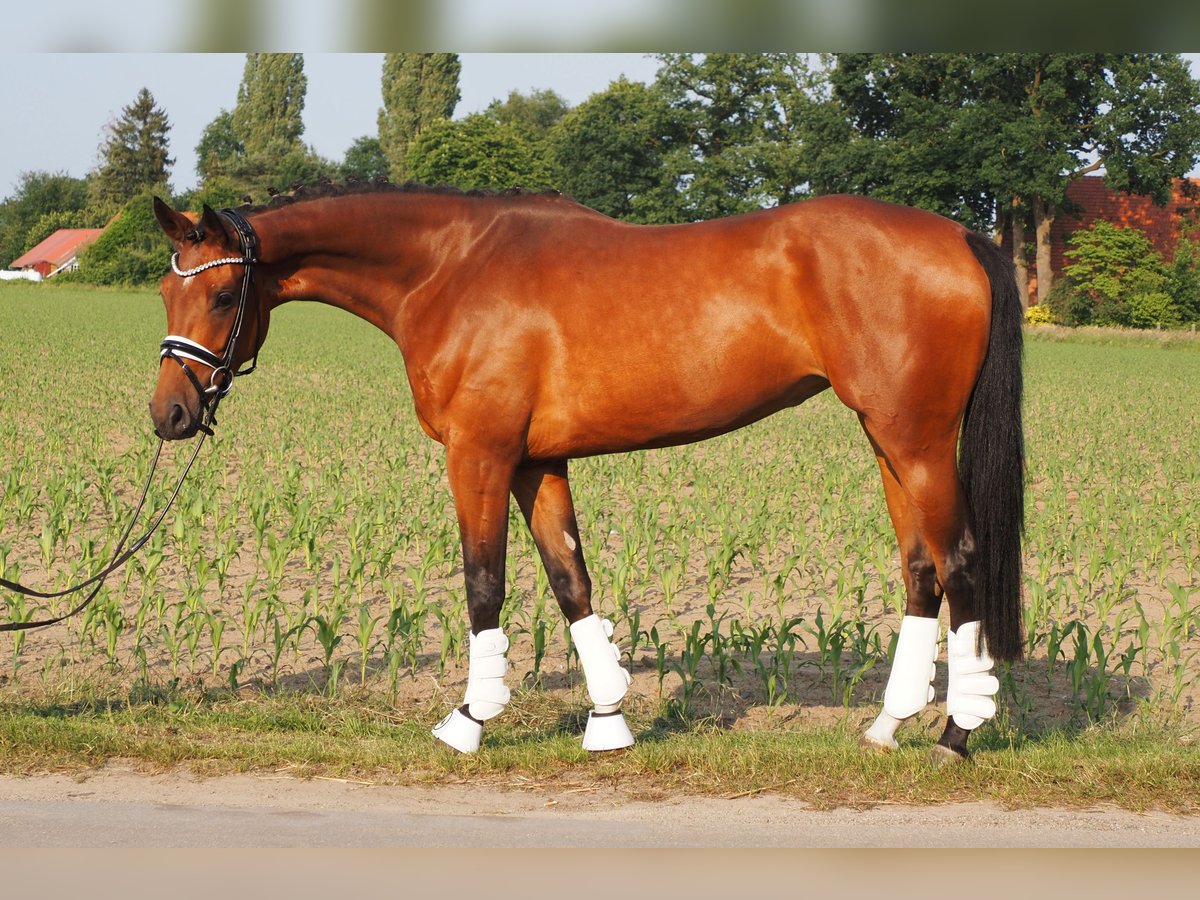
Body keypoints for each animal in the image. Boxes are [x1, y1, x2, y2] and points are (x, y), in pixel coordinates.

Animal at [150, 187, 1022, 763]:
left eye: (223, 293)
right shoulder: (538, 462)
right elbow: (572, 581)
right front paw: (608, 720)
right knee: (920, 570)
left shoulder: (479, 456)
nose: (170, 415)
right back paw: (889, 726)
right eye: (165, 288)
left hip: (918, 443)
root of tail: (959, 236)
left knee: (961, 563)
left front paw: (469, 720)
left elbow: (484, 583)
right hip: (887, 440)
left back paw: (956, 735)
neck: (447, 268)